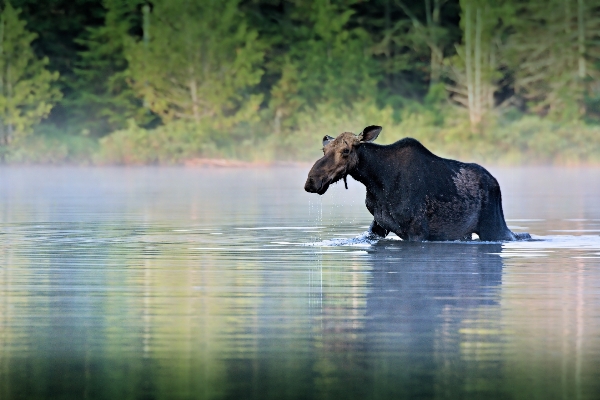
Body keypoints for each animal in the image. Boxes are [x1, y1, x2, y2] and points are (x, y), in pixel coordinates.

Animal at [304, 126, 528, 242]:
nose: (312, 181)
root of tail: (495, 183)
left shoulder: (418, 230)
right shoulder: (378, 225)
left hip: (494, 225)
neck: (376, 180)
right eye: (324, 151)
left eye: (346, 151)